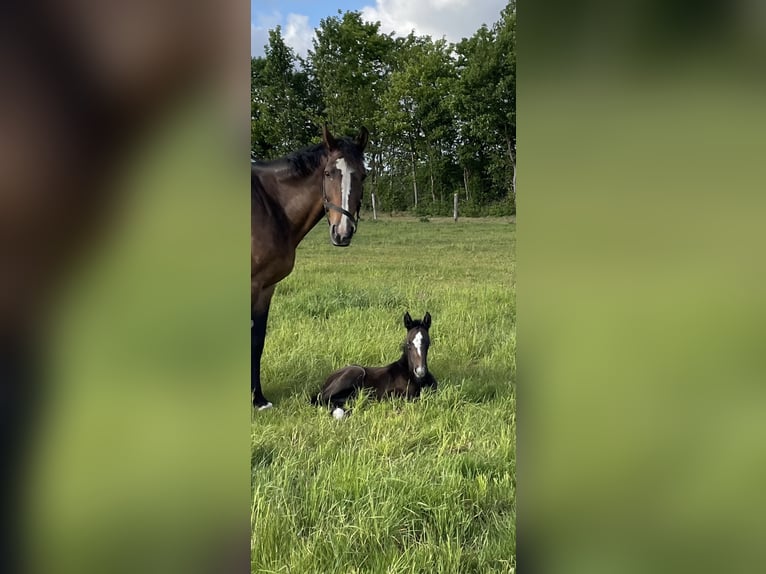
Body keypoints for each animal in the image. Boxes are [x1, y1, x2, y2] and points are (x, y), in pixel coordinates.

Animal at [251, 125, 370, 409]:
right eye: (328, 174)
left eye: (363, 175)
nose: (342, 232)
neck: (270, 205)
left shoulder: (266, 287)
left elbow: (257, 341)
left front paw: (259, 399)